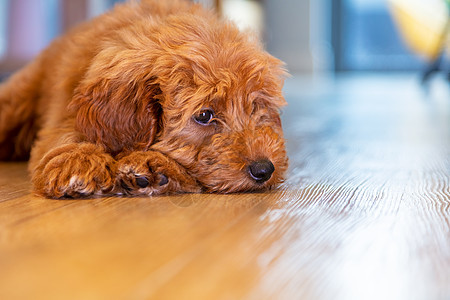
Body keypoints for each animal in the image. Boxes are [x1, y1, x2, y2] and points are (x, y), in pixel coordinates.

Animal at [0, 0, 288, 198]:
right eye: (204, 115)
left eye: (256, 106)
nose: (264, 169)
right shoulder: (66, 109)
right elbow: (67, 132)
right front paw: (78, 161)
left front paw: (157, 169)